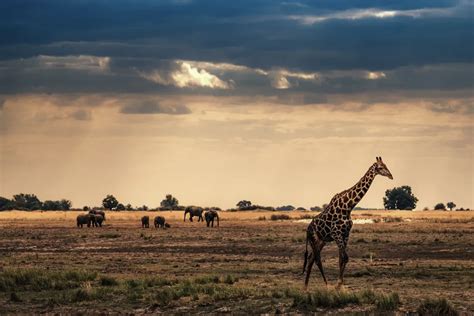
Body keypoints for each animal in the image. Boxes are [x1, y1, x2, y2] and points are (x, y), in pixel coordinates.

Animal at [304, 157, 392, 288]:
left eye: (386, 165)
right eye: (380, 167)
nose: (391, 175)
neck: (348, 206)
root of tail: (307, 230)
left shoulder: (345, 234)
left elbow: (342, 259)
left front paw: (340, 284)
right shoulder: (336, 234)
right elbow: (345, 257)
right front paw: (338, 285)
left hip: (321, 241)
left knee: (311, 258)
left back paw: (305, 287)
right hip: (314, 240)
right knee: (316, 259)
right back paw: (325, 284)